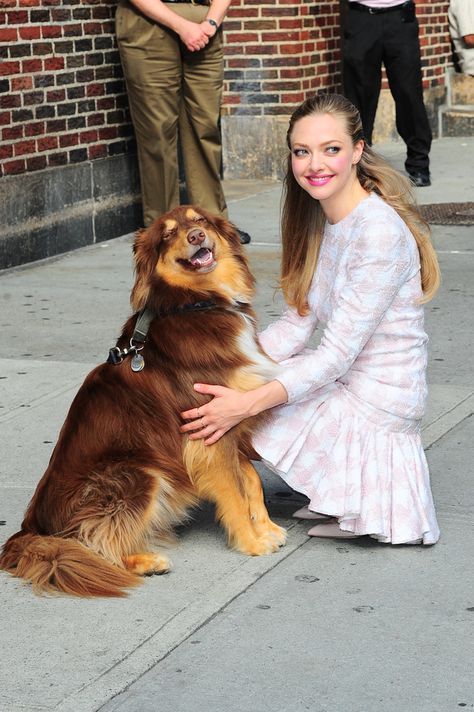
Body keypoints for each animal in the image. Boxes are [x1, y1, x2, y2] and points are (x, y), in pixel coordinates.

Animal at [0, 204, 286, 596]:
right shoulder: (206, 430)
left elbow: (250, 480)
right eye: (167, 234)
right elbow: (234, 491)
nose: (196, 237)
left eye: (199, 221)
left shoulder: (224, 422)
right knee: (94, 541)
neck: (195, 304)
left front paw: (265, 527)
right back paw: (145, 562)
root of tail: (31, 528)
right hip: (139, 473)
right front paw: (251, 541)